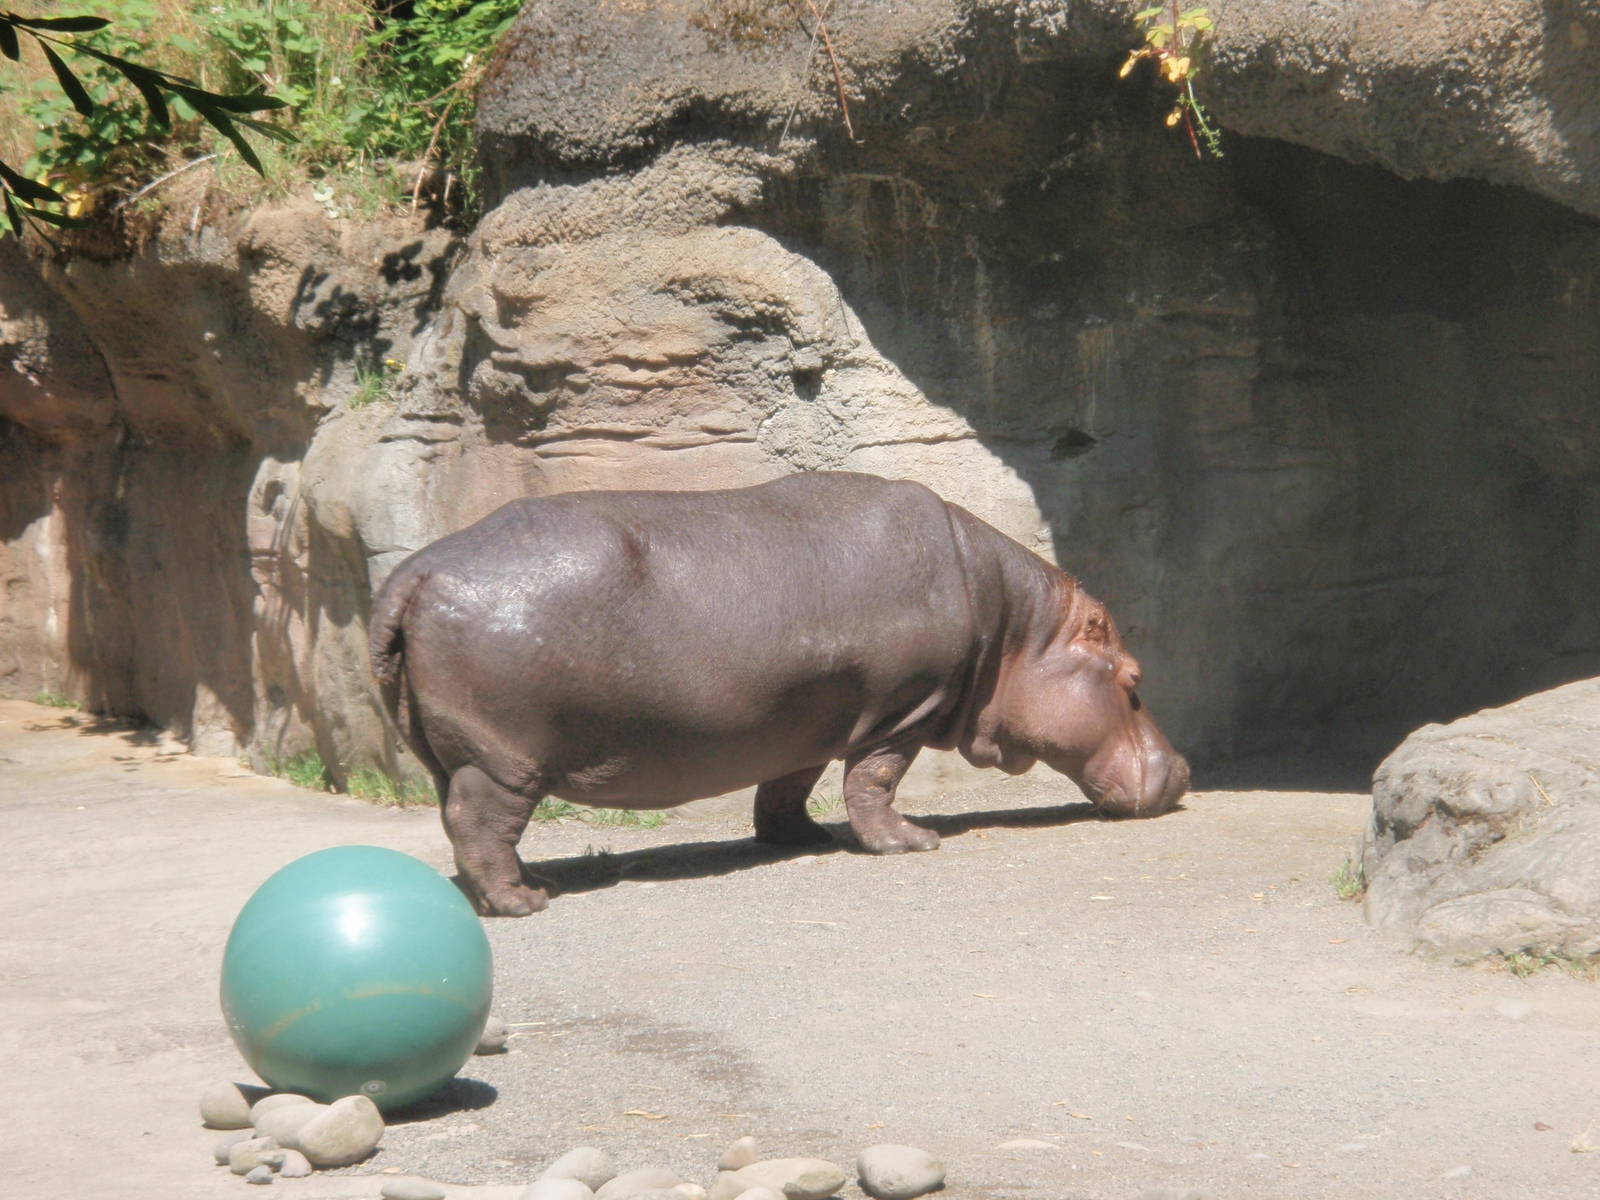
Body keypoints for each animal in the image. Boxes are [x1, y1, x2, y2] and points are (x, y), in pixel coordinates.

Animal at [370, 471, 1189, 916]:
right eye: (1134, 679)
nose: (1183, 771)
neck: (1017, 629)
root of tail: (416, 572)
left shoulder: (809, 715)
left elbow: (789, 785)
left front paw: (801, 839)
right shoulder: (904, 709)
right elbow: (874, 782)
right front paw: (911, 843)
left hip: (451, 752)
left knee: (466, 823)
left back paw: (528, 881)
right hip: (501, 759)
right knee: (478, 822)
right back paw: (525, 903)